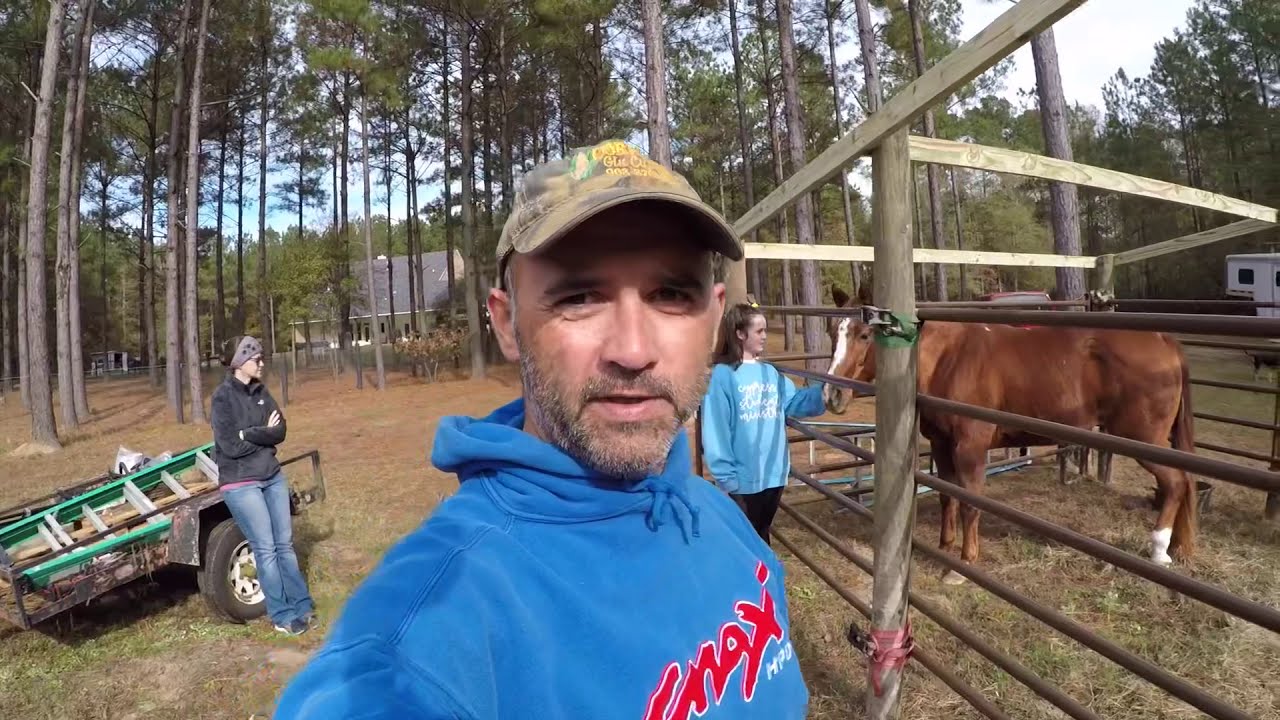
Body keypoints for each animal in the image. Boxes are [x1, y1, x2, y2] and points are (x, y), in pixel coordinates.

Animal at [822, 286, 1199, 583]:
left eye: (864, 335)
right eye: (832, 333)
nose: (832, 394)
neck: (947, 358)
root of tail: (1164, 341)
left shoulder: (970, 449)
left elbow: (970, 504)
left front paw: (961, 566)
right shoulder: (942, 445)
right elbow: (948, 497)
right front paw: (944, 549)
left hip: (1143, 439)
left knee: (1175, 483)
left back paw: (1159, 550)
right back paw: (1179, 547)